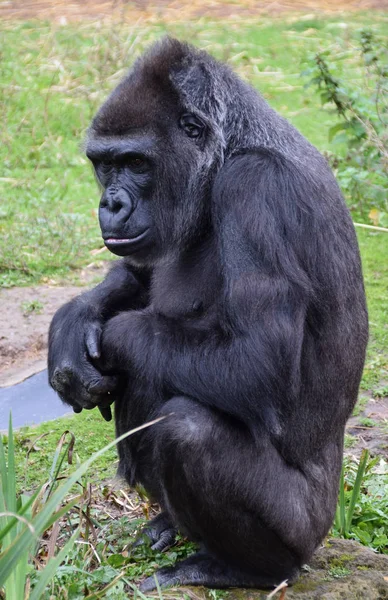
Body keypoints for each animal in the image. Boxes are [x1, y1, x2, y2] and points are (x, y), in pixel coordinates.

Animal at [47, 37, 366, 592]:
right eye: (104, 164)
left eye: (136, 162)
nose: (110, 203)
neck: (228, 150)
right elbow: (138, 275)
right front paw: (72, 324)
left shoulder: (257, 189)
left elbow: (256, 362)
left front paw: (108, 336)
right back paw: (169, 524)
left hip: (308, 532)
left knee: (186, 426)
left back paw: (246, 569)